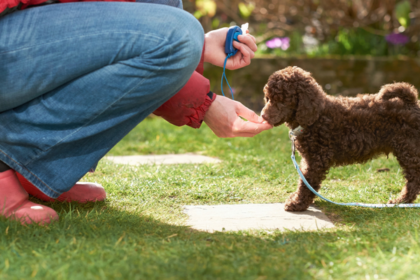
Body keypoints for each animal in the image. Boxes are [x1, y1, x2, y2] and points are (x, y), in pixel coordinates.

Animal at [260, 66, 420, 210]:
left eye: (282, 100)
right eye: (268, 98)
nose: (263, 116)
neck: (316, 117)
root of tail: (411, 103)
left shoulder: (317, 159)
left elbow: (307, 182)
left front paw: (297, 203)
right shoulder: (309, 159)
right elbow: (304, 180)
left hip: (409, 149)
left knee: (414, 179)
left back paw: (402, 200)